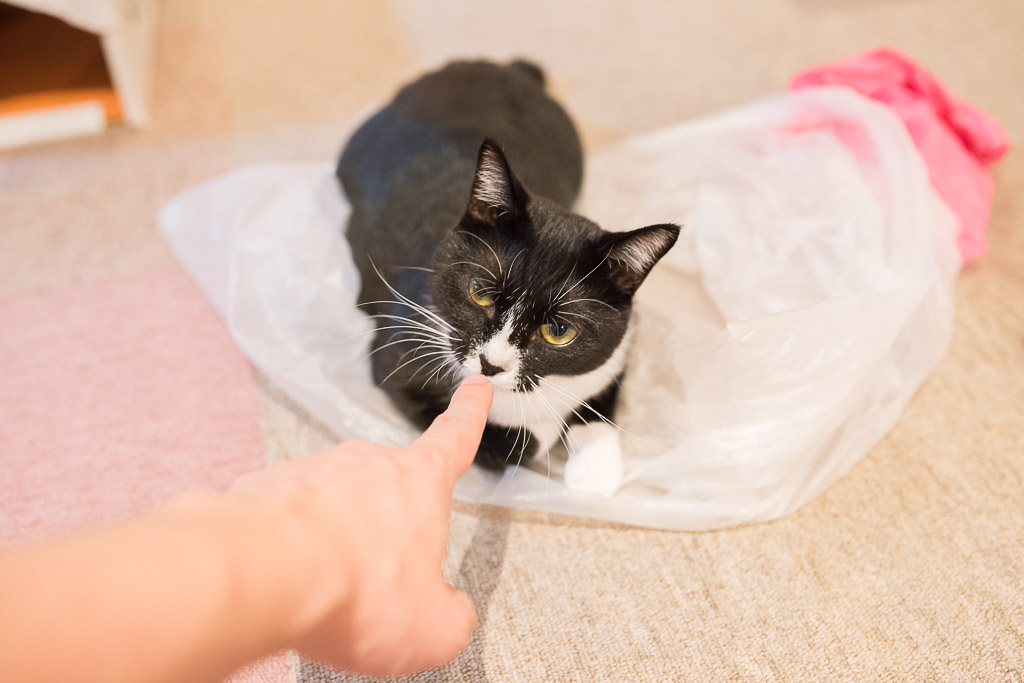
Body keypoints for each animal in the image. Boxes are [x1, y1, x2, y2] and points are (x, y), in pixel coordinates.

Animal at [337, 61, 679, 473]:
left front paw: (595, 470)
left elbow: (600, 405)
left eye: (559, 331)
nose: (490, 364)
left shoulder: (617, 353)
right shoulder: (399, 349)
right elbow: (500, 440)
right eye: (480, 293)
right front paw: (543, 434)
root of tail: (493, 66)